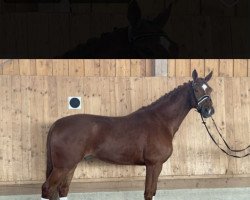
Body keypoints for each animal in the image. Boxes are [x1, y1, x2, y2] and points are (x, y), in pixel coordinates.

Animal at [42, 69, 214, 200]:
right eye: (196, 89)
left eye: (210, 90)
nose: (209, 111)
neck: (161, 120)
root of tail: (57, 124)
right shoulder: (153, 164)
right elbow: (148, 193)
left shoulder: (156, 166)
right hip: (62, 167)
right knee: (47, 188)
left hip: (70, 165)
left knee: (63, 189)